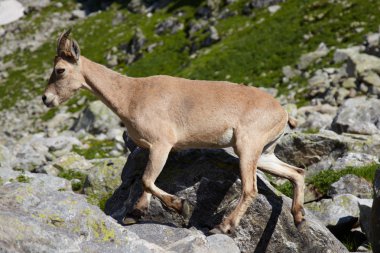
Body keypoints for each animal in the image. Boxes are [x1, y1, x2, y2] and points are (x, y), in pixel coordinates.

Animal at [43, 30, 304, 234]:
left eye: (60, 70)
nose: (46, 98)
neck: (131, 94)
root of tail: (283, 113)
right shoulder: (153, 148)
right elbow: (146, 180)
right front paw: (135, 213)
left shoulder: (162, 144)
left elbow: (147, 180)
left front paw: (180, 206)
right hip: (265, 152)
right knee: (297, 172)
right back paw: (298, 217)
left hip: (247, 145)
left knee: (251, 189)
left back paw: (223, 226)